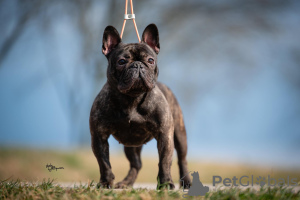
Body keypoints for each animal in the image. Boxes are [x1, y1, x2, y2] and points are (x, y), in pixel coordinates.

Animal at [90, 23, 191, 189]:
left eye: (150, 60)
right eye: (121, 61)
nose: (137, 65)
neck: (132, 98)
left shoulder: (165, 135)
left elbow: (165, 161)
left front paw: (165, 183)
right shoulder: (99, 136)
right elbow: (104, 163)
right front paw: (105, 183)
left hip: (179, 135)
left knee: (182, 159)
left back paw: (187, 181)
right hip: (130, 145)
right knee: (136, 164)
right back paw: (126, 183)